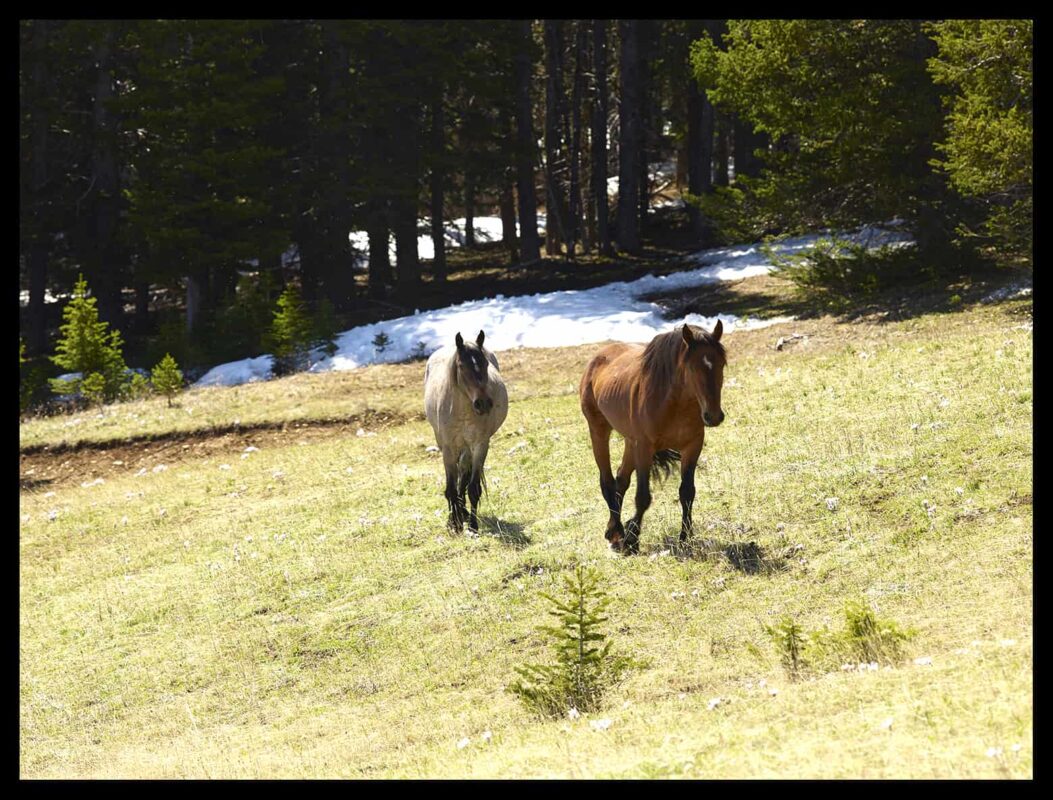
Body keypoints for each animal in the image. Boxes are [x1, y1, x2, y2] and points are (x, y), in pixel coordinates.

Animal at [424, 330, 509, 533]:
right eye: (462, 366)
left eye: (485, 363)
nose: (483, 403)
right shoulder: (448, 448)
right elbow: (450, 487)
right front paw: (454, 524)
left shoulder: (479, 446)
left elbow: (473, 488)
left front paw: (472, 525)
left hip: (467, 448)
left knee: (464, 474)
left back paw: (463, 512)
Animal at [579, 321, 726, 554]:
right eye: (692, 367)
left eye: (721, 364)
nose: (713, 416)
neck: (673, 405)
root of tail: (597, 359)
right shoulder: (644, 448)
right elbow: (643, 497)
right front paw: (632, 539)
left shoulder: (692, 447)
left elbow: (687, 492)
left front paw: (685, 538)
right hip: (599, 431)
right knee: (608, 482)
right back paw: (617, 533)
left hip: (630, 441)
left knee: (621, 480)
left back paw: (615, 530)